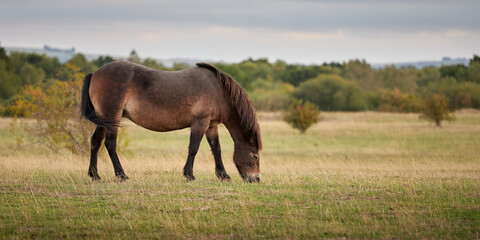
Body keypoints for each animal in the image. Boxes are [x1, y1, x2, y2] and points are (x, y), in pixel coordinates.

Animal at [81, 61, 262, 183]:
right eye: (254, 155)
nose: (256, 179)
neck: (218, 91)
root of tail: (95, 73)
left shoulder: (211, 125)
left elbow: (216, 149)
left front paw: (223, 175)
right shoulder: (200, 122)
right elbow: (194, 148)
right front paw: (189, 175)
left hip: (103, 120)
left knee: (95, 142)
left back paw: (95, 175)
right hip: (112, 118)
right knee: (110, 144)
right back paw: (122, 175)